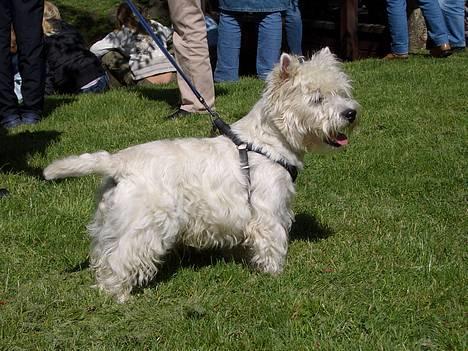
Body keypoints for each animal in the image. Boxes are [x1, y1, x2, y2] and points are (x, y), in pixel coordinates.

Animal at [43, 48, 358, 304]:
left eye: (342, 92)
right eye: (317, 98)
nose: (351, 113)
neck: (269, 142)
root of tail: (119, 163)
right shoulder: (268, 212)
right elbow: (272, 244)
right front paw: (276, 275)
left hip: (110, 223)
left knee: (103, 254)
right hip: (143, 226)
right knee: (121, 260)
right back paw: (119, 297)